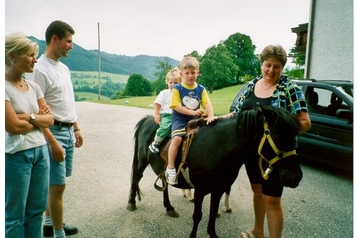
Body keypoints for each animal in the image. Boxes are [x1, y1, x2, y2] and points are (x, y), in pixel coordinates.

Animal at [126, 106, 302, 238]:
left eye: (294, 137)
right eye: (278, 136)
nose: (296, 177)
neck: (218, 146)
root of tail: (147, 119)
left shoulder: (218, 189)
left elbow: (212, 213)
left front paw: (212, 233)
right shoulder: (200, 190)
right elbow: (197, 216)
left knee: (164, 184)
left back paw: (169, 208)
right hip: (141, 162)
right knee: (136, 178)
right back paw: (131, 203)